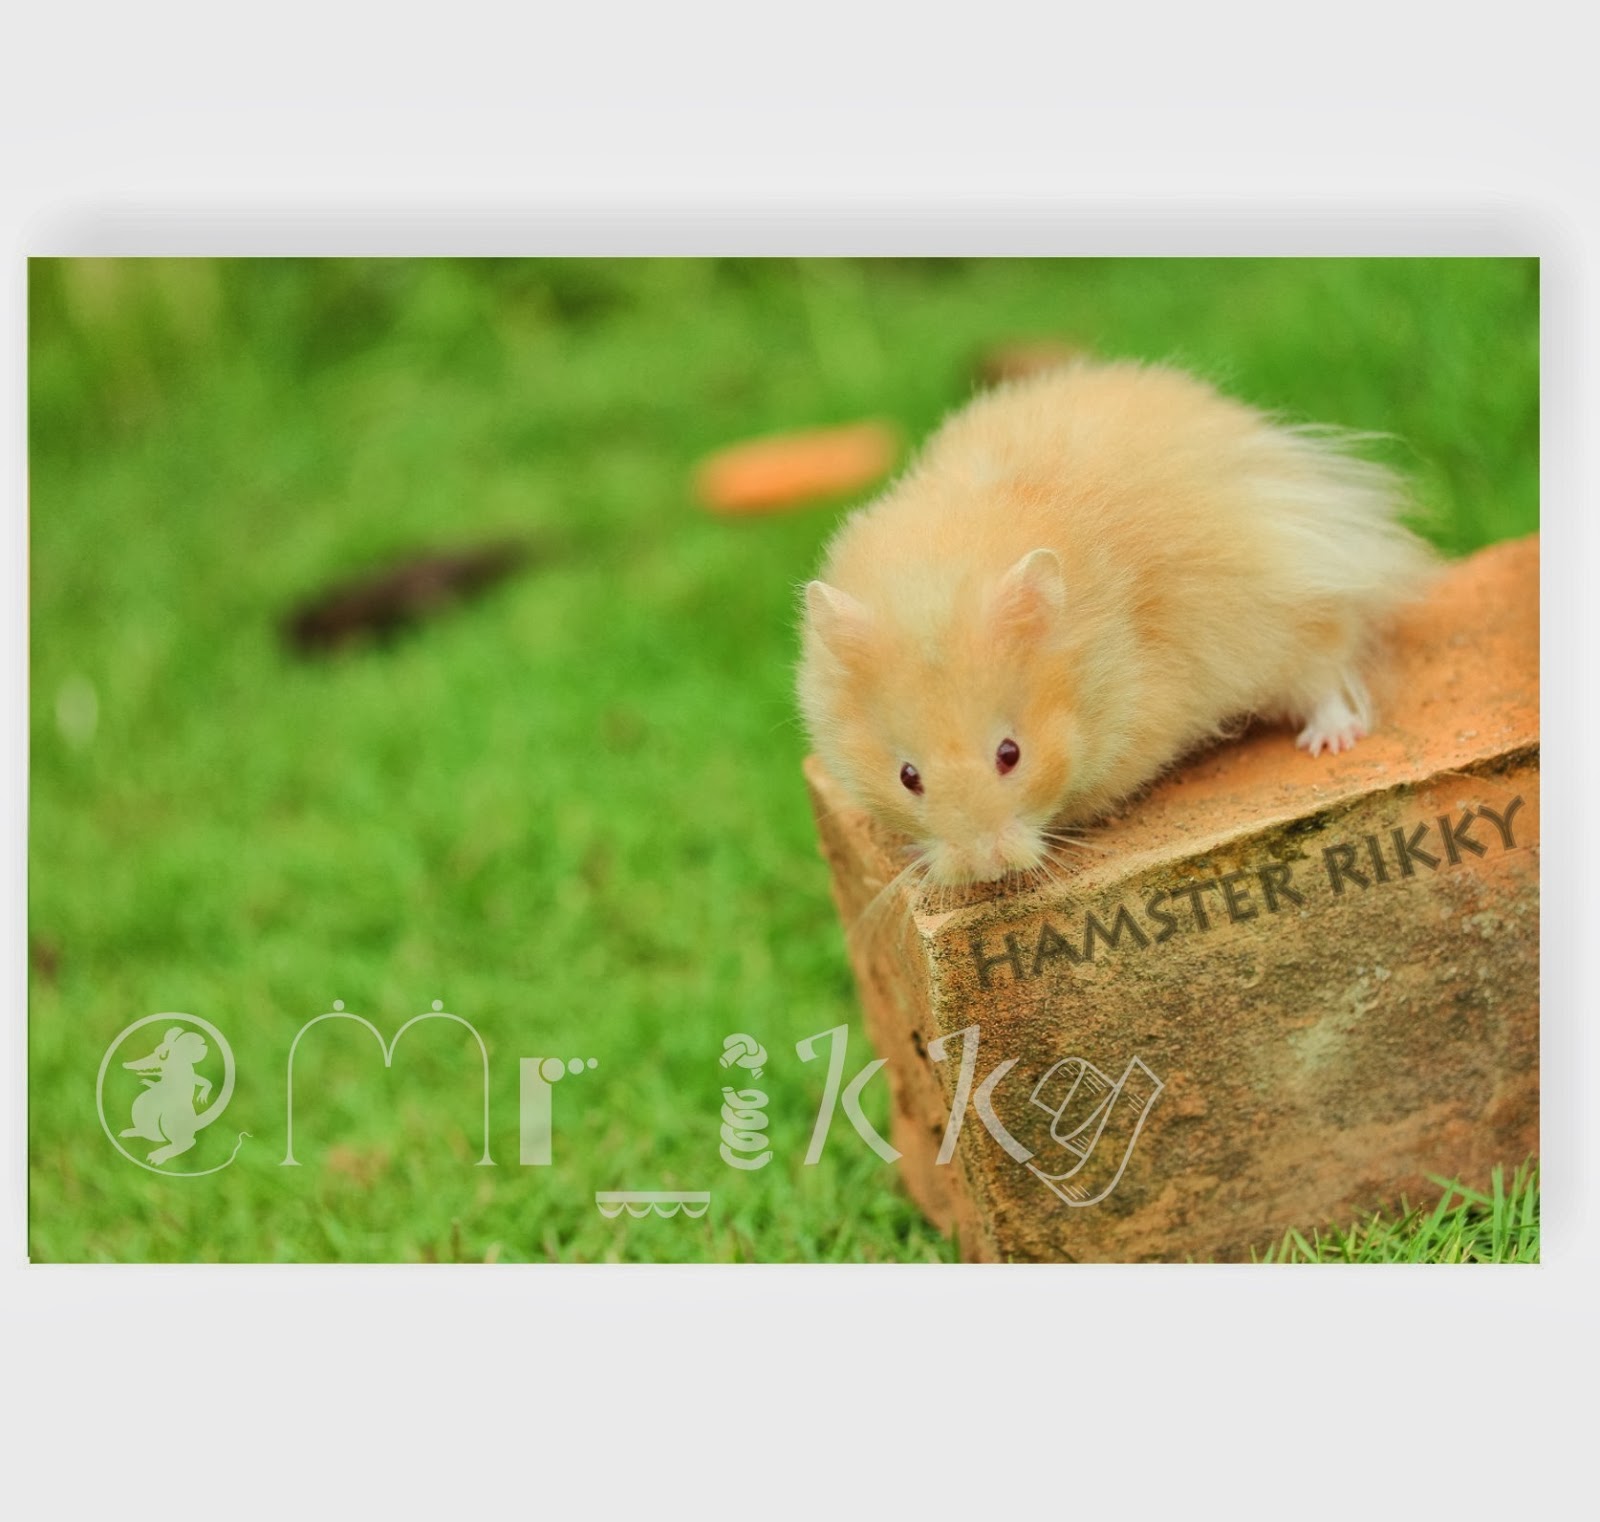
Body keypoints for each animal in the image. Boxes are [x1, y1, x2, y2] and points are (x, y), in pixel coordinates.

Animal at [796, 359, 1437, 889]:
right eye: (908, 776)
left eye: (1011, 754)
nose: (985, 868)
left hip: (1293, 613)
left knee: (1326, 669)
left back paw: (1327, 742)